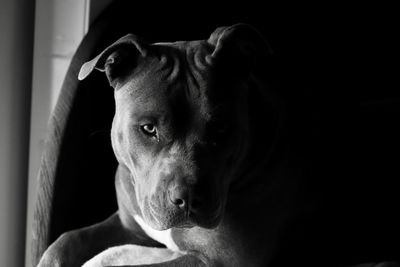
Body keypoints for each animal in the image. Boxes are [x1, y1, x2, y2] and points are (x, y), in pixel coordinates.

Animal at [37, 24, 298, 266]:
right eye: (148, 128)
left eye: (220, 128)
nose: (188, 199)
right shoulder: (128, 224)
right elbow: (69, 238)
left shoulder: (222, 260)